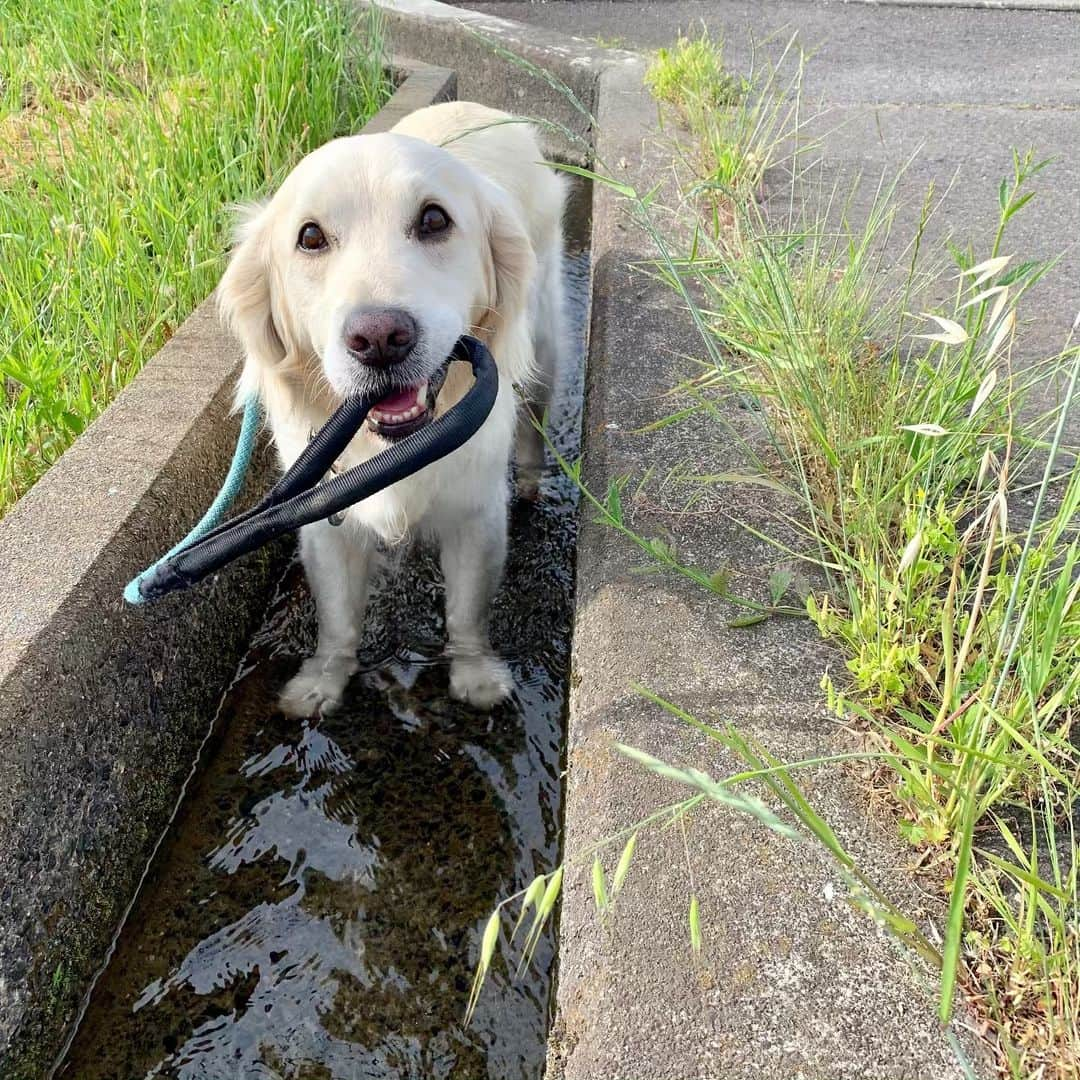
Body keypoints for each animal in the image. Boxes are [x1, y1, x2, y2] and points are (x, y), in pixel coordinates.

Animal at [221, 101, 574, 717]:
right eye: (310, 237)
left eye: (434, 220)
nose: (380, 338)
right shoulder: (326, 524)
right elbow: (338, 618)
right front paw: (322, 682)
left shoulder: (475, 513)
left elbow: (466, 611)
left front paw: (476, 676)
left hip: (545, 343)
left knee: (534, 422)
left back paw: (532, 484)